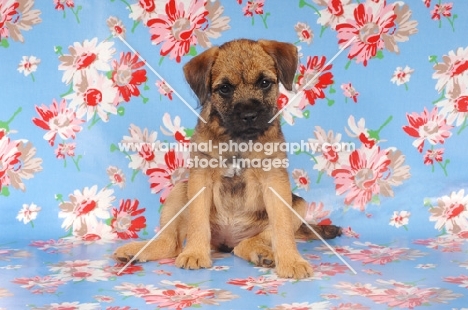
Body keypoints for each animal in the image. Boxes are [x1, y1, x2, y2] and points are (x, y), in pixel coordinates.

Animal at [113, 38, 340, 278]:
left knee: (249, 242)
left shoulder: (274, 180)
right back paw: (135, 251)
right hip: (179, 190)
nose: (249, 115)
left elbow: (282, 227)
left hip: (298, 205)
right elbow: (198, 220)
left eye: (264, 83)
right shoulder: (200, 178)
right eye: (224, 89)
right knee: (170, 242)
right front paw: (195, 252)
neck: (238, 139)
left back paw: (261, 252)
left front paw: (291, 261)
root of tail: (227, 241)